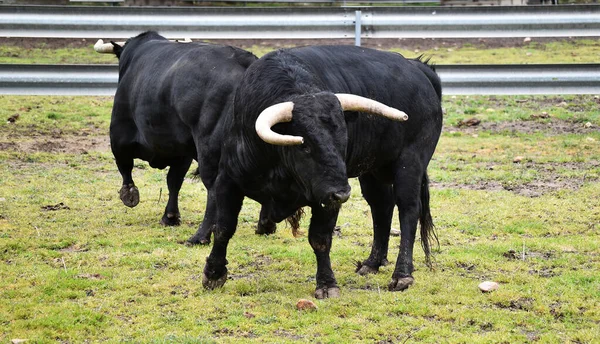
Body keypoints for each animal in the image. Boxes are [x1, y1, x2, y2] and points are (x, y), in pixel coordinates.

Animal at [204, 45, 442, 298]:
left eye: (343, 141)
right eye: (305, 145)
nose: (342, 193)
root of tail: (417, 68)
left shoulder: (326, 198)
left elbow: (320, 238)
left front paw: (327, 284)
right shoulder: (227, 180)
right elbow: (223, 227)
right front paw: (214, 273)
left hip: (410, 163)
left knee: (408, 210)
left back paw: (402, 274)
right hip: (373, 170)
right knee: (381, 208)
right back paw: (372, 263)